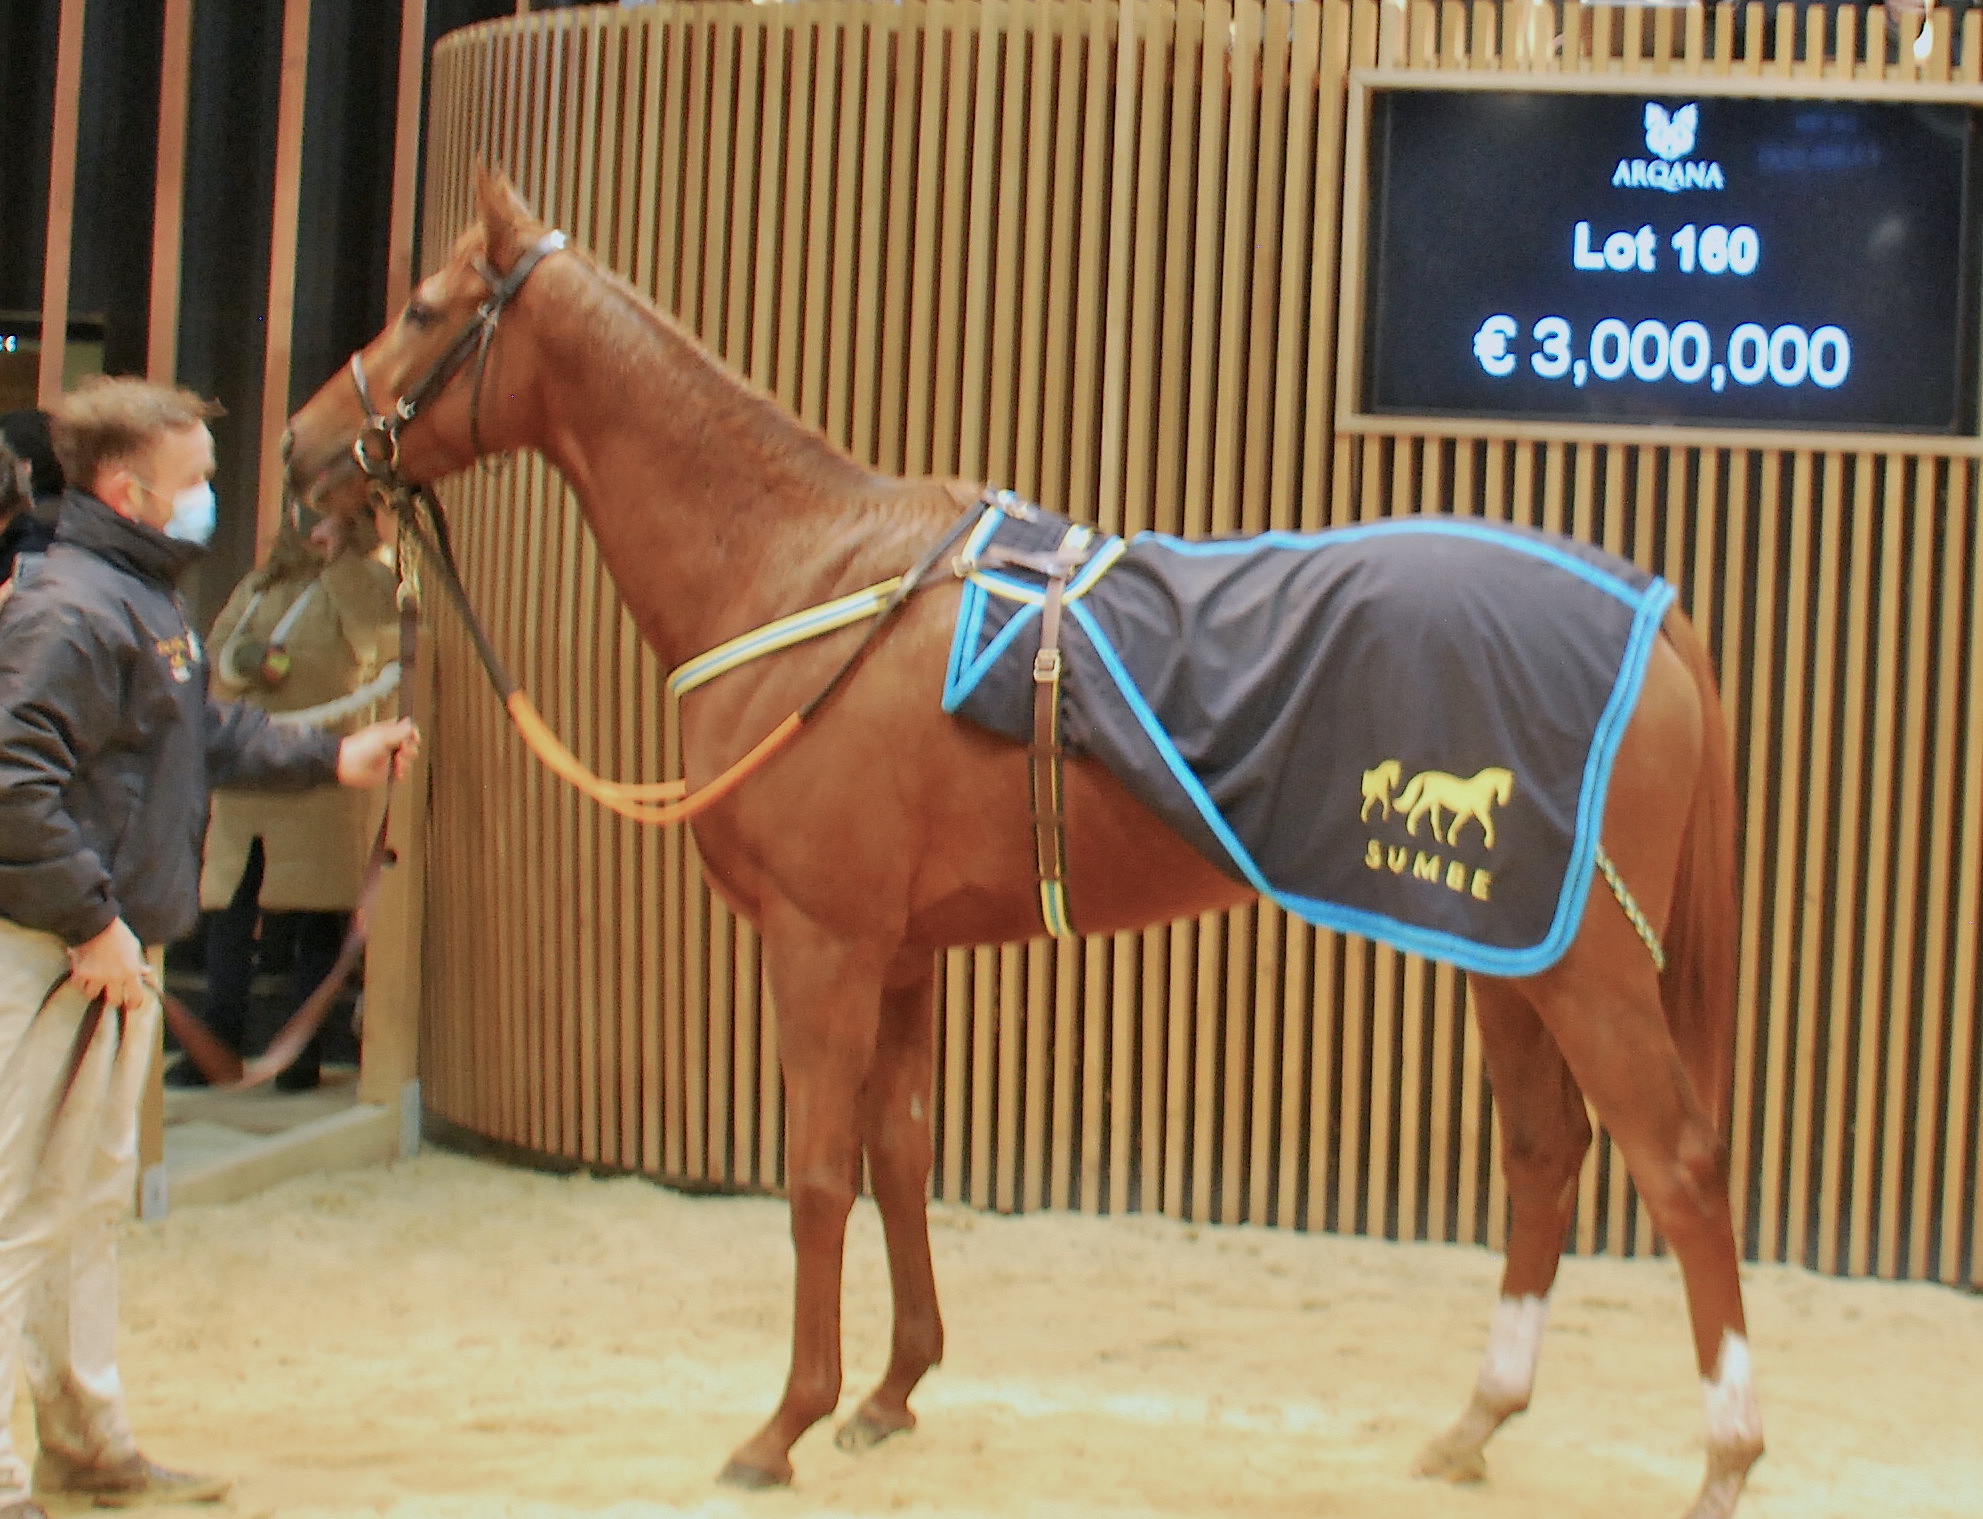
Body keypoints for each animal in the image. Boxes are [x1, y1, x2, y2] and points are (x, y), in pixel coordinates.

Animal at [283, 172, 1768, 1519]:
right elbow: (899, 1154)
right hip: (1501, 946)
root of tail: (1654, 608)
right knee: (1543, 1157)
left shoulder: (821, 948)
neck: (804, 572)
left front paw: (781, 1423)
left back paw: (1725, 1455)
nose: (302, 454)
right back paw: (1473, 1423)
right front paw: (890, 1392)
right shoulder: (900, 954)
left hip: (1582, 968)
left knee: (1682, 1166)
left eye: (423, 309)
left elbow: (814, 1177)